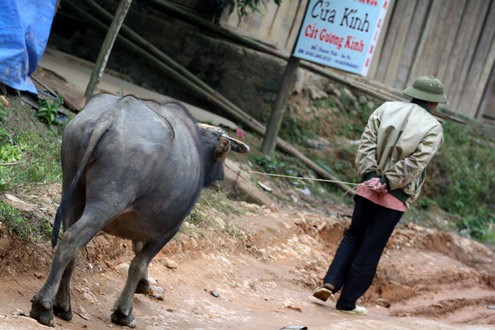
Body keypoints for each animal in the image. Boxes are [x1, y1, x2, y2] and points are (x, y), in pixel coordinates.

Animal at [29, 94, 250, 326]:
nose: (222, 174)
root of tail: (112, 114)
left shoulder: (141, 220)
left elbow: (137, 250)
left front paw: (144, 285)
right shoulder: (169, 228)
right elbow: (138, 263)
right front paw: (123, 312)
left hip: (71, 189)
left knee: (72, 245)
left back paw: (62, 305)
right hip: (108, 201)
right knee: (72, 240)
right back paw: (44, 306)